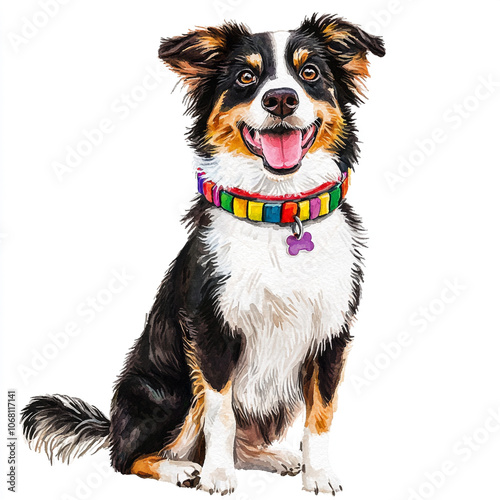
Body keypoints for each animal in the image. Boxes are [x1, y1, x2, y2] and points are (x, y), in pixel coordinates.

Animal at [21, 13, 384, 494]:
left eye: (310, 73)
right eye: (246, 78)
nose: (281, 99)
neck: (279, 212)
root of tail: (113, 423)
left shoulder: (332, 333)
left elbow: (320, 415)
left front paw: (319, 475)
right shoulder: (210, 330)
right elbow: (220, 414)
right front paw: (217, 476)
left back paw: (274, 457)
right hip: (166, 391)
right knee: (127, 457)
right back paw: (181, 469)